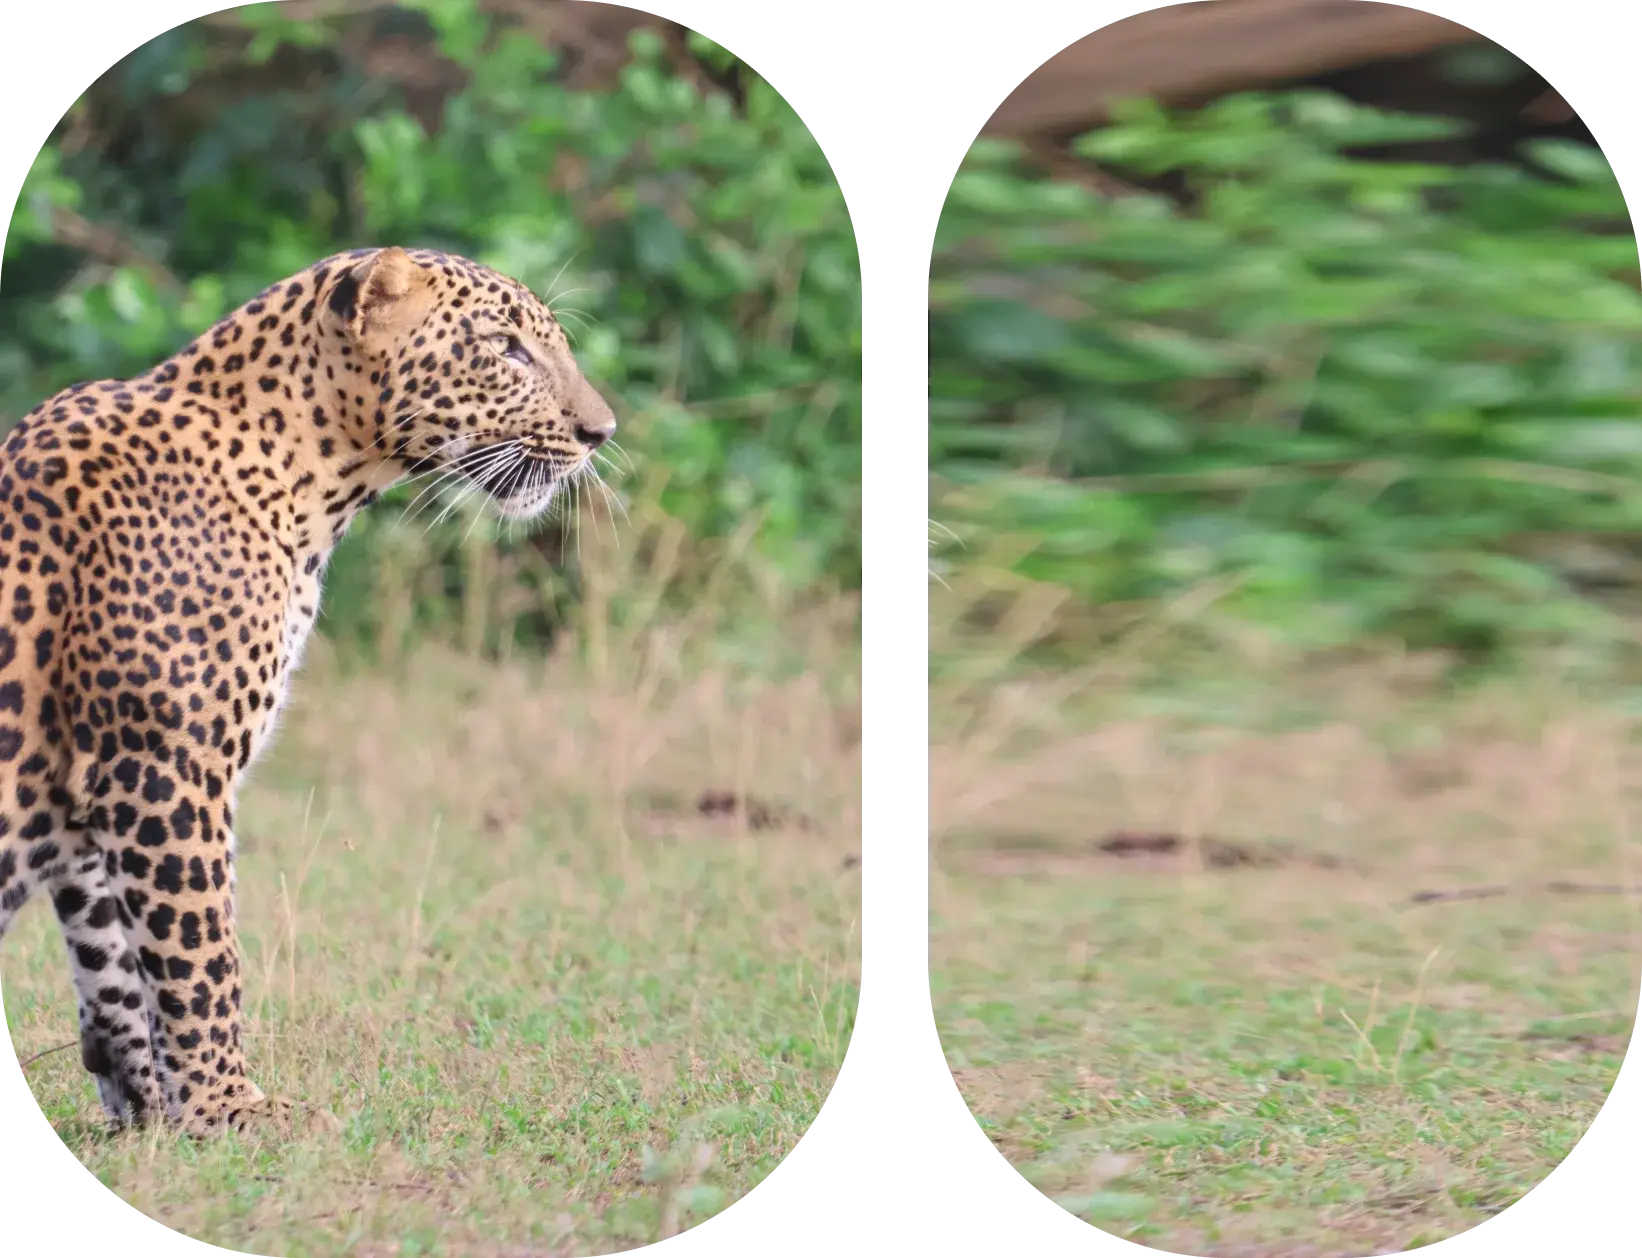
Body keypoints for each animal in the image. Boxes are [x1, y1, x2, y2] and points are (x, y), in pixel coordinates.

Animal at [0, 246, 616, 1134]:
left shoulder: (93, 796)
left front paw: (152, 1111)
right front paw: (230, 1106)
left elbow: (112, 964)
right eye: (506, 349)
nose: (602, 433)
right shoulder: (162, 767)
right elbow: (199, 952)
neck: (311, 483)